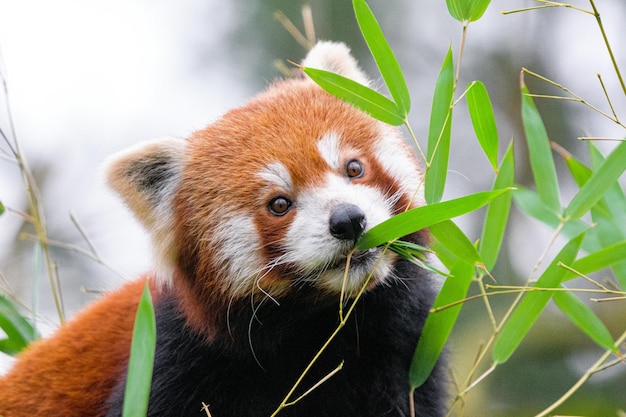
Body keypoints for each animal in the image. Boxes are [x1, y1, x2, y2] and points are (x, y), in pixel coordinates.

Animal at [0, 42, 444, 416]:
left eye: (354, 168)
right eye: (279, 204)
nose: (348, 220)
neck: (322, 330)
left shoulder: (405, 351)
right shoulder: (169, 365)